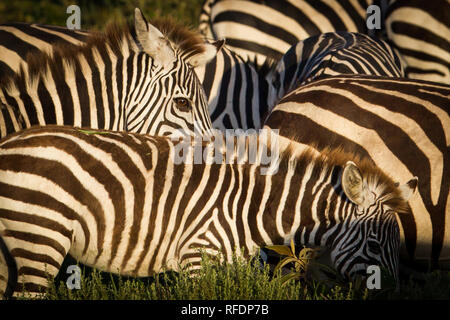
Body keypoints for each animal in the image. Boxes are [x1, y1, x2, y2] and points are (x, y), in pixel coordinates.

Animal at [0, 124, 416, 298]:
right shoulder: (196, 259)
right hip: (41, 236)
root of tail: (10, 141)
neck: (249, 208)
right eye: (375, 245)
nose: (394, 296)